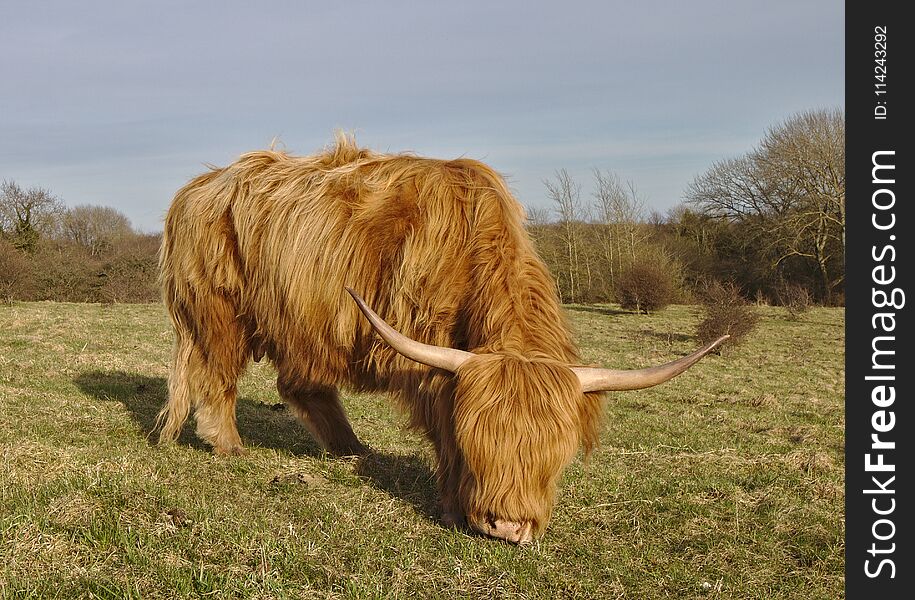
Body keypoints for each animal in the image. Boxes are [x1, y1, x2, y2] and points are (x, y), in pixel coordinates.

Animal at [159, 135, 728, 544]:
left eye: (554, 456)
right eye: (479, 446)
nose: (508, 526)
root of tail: (203, 182)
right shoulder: (427, 350)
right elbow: (442, 425)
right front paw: (454, 506)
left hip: (303, 320)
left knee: (300, 384)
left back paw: (349, 448)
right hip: (218, 309)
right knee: (217, 373)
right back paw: (229, 445)